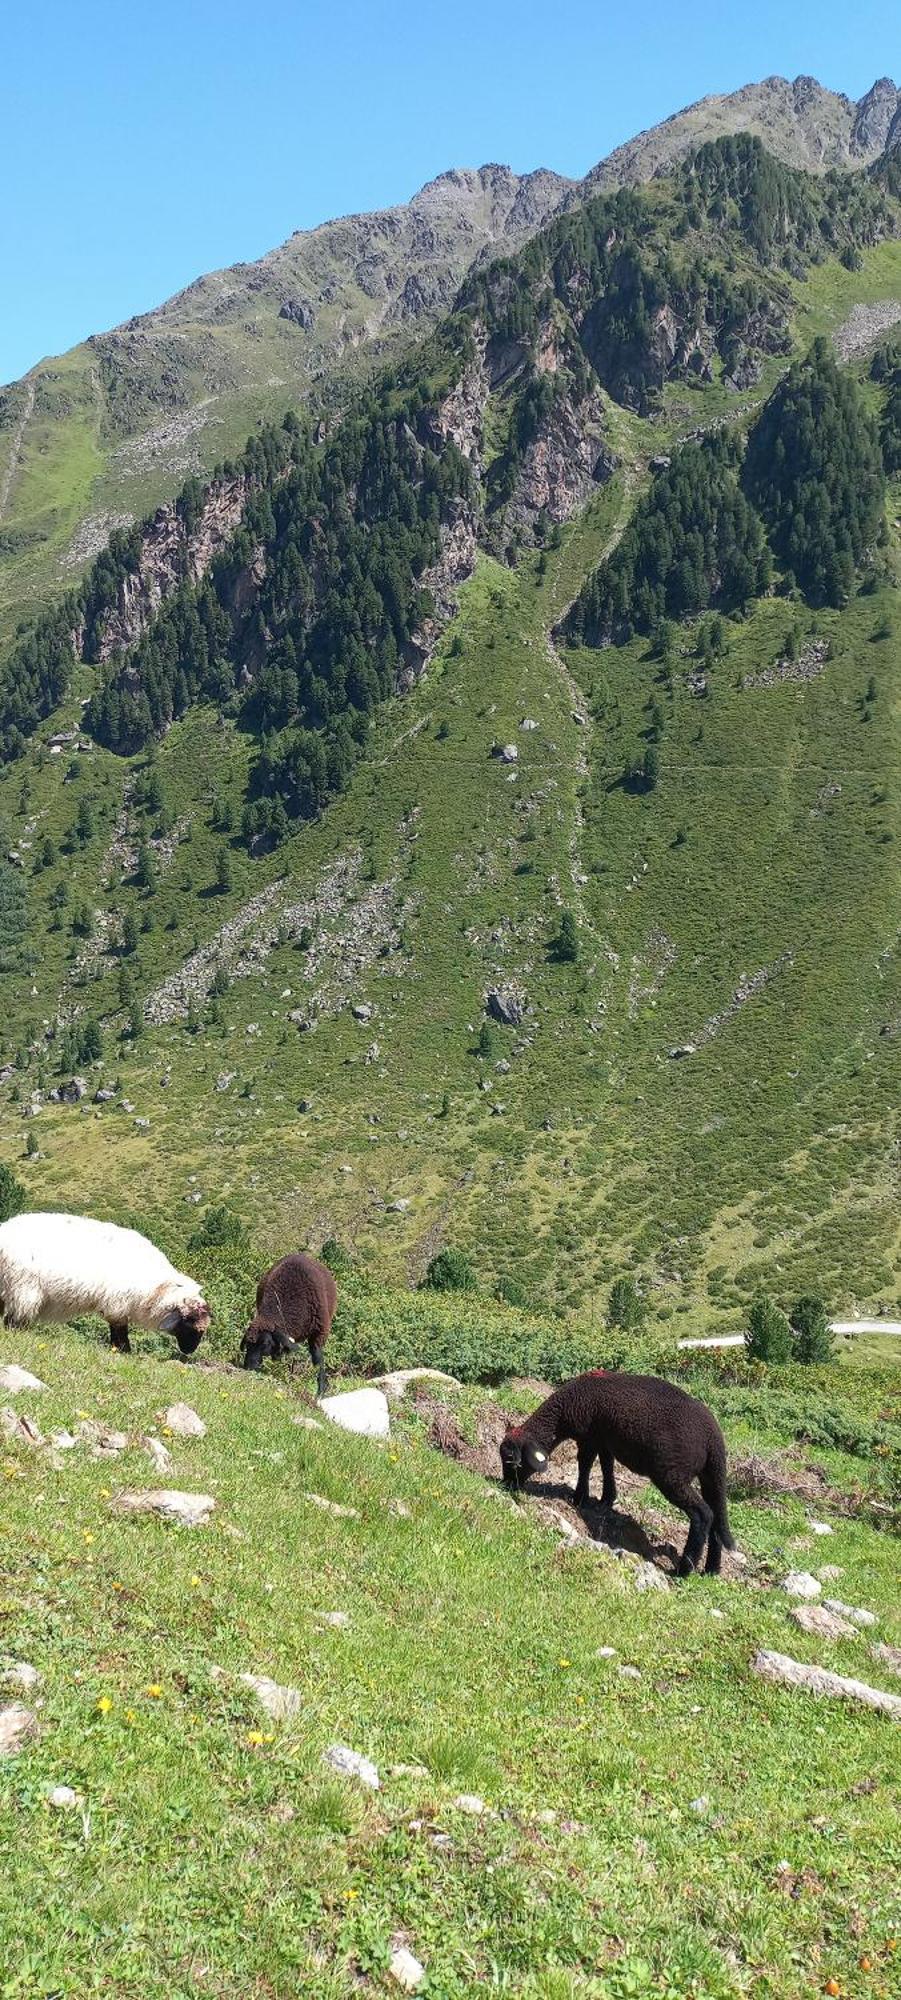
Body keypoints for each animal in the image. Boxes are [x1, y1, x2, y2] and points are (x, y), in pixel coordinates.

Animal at [0, 1200, 211, 1360]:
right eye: (191, 1325)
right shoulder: (118, 1303)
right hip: (23, 1287)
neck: (154, 1288)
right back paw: (19, 1333)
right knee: (15, 1318)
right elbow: (119, 1330)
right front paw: (124, 1351)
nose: (189, 1352)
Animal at [239, 1248, 338, 1392]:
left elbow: (318, 1358)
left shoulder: (319, 1333)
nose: (248, 1367)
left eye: (265, 1344)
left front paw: (322, 1389)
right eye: (247, 1344)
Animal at [500, 1368, 732, 1568]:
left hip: (672, 1474)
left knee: (703, 1514)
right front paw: (606, 1499)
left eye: (510, 1458)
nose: (506, 1485)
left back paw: (684, 1569)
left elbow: (585, 1463)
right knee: (717, 1516)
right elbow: (606, 1466)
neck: (562, 1414)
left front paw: (579, 1498)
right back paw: (711, 1569)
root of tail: (713, 1438)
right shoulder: (604, 1440)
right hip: (710, 1476)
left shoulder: (589, 1437)